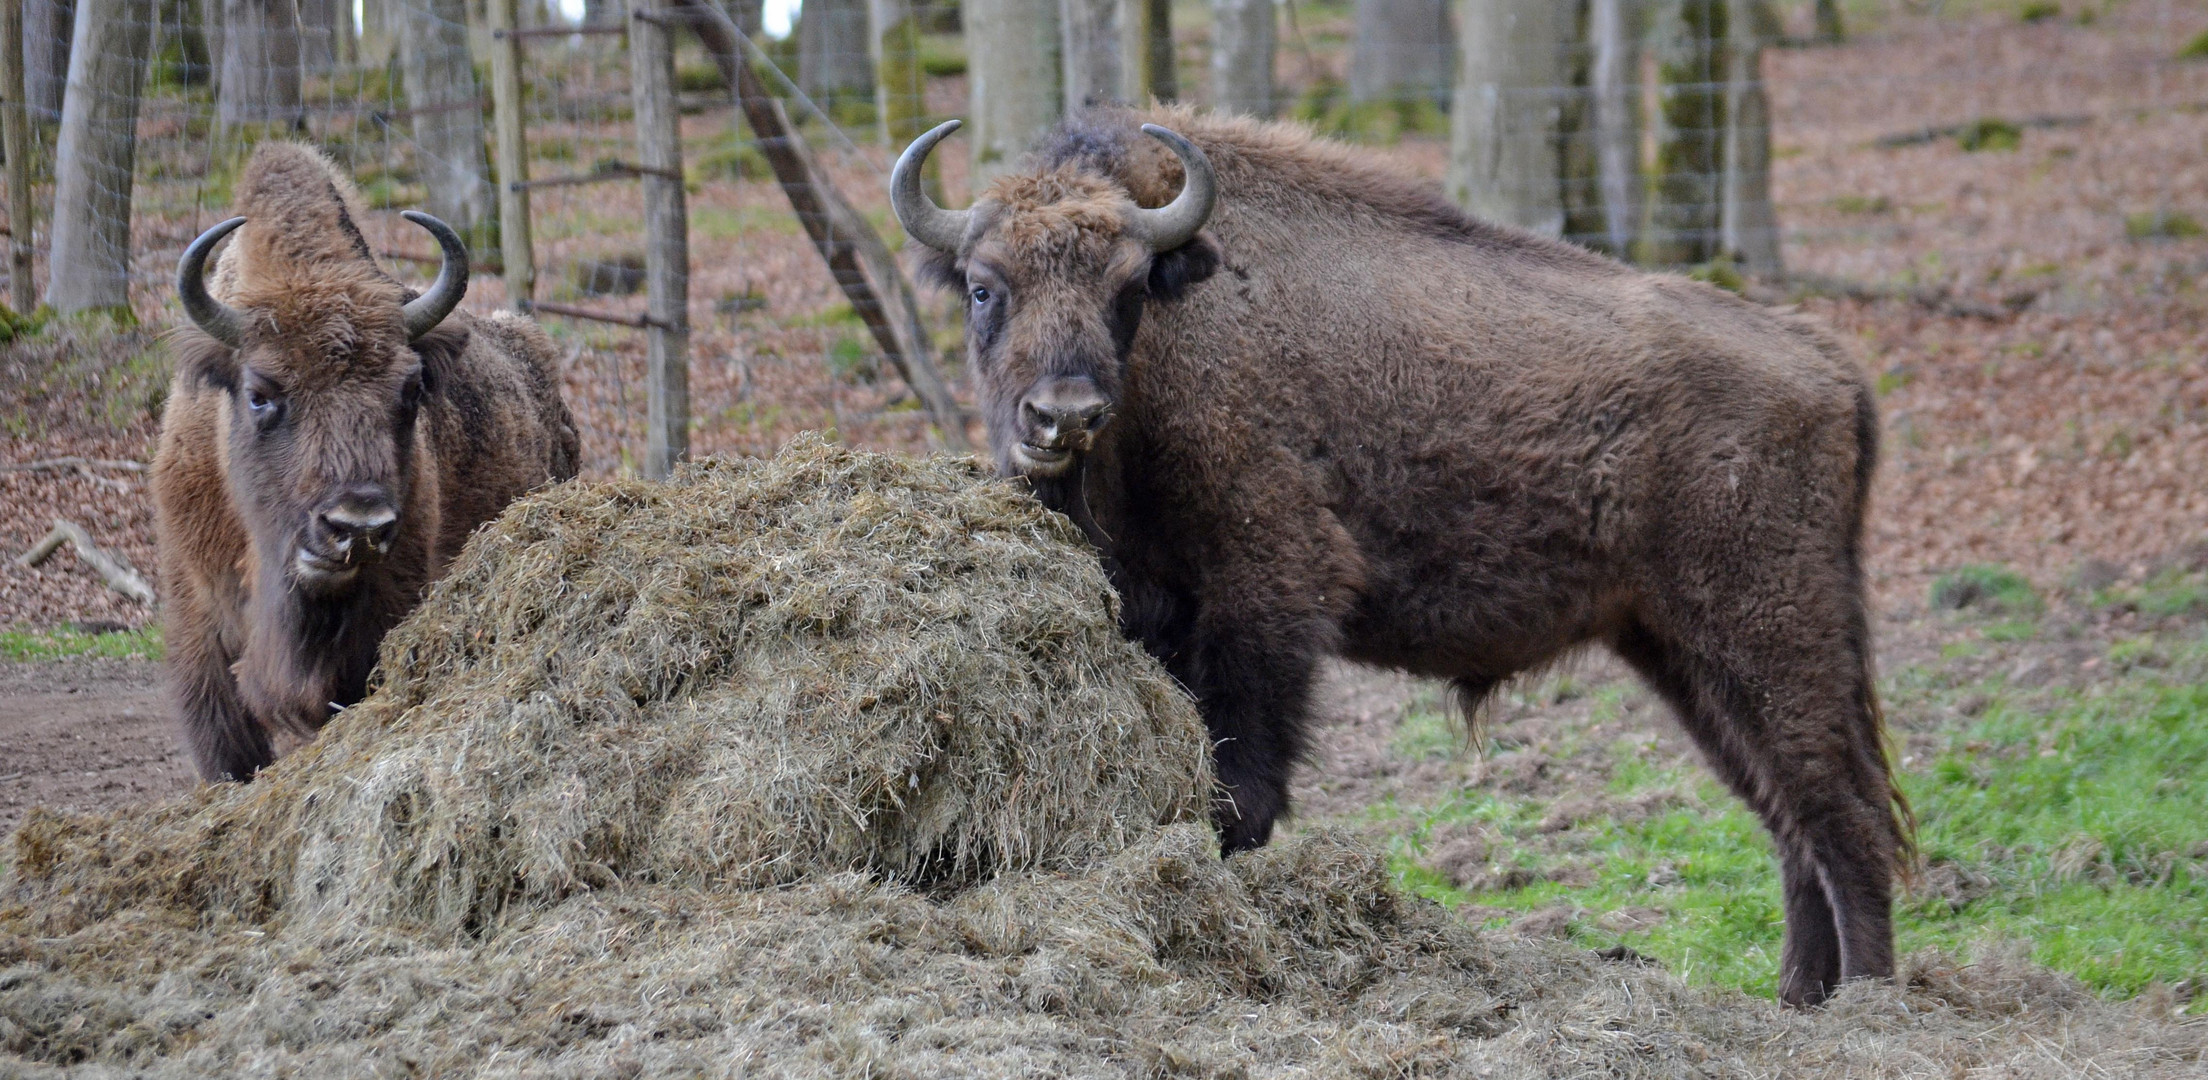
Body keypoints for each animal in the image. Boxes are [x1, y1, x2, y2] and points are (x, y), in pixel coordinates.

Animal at [887, 107, 1907, 1002]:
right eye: (983, 286)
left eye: (1130, 289)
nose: (1061, 416)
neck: (1178, 347)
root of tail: (1830, 366)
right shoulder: (1159, 613)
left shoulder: (1269, 594)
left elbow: (1241, 790)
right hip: (1683, 653)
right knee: (1789, 814)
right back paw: (1797, 999)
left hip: (1768, 629)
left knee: (1843, 810)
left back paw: (1865, 1005)